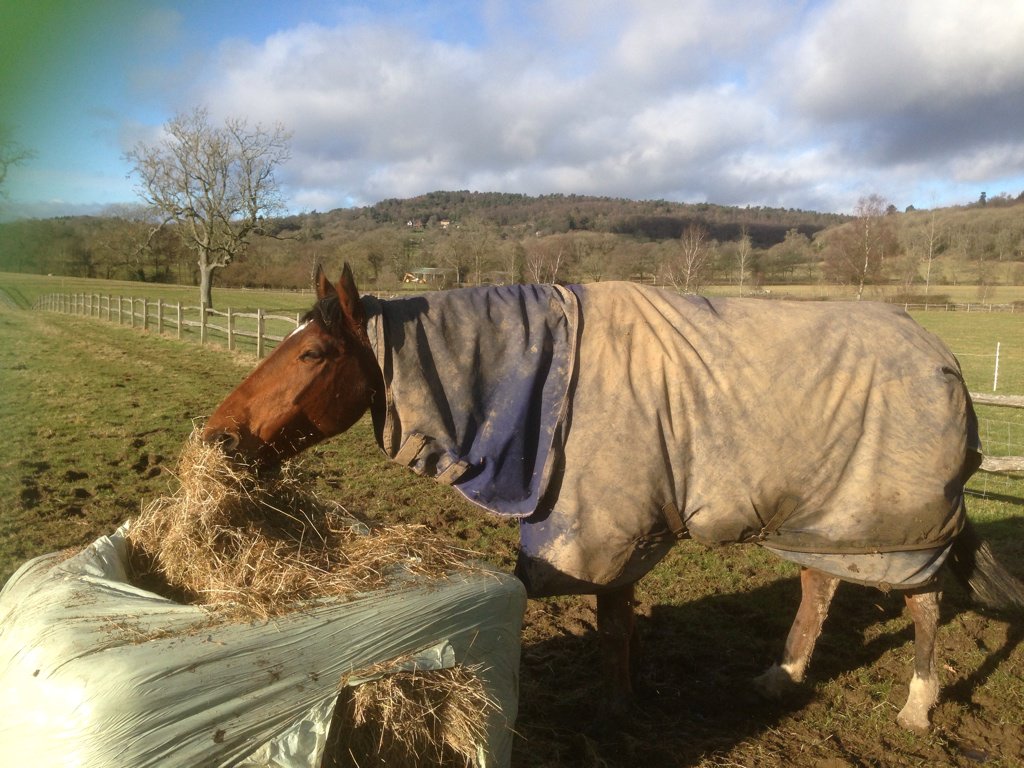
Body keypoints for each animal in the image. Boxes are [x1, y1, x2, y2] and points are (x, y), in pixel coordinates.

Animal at [203, 264, 1024, 731]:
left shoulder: (604, 525)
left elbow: (610, 621)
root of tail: (943, 359)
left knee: (923, 606)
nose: (218, 435)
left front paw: (613, 711)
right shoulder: (606, 527)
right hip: (829, 520)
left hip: (904, 528)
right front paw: (623, 701)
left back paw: (917, 706)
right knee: (820, 586)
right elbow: (617, 618)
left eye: (313, 352)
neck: (544, 376)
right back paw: (780, 677)